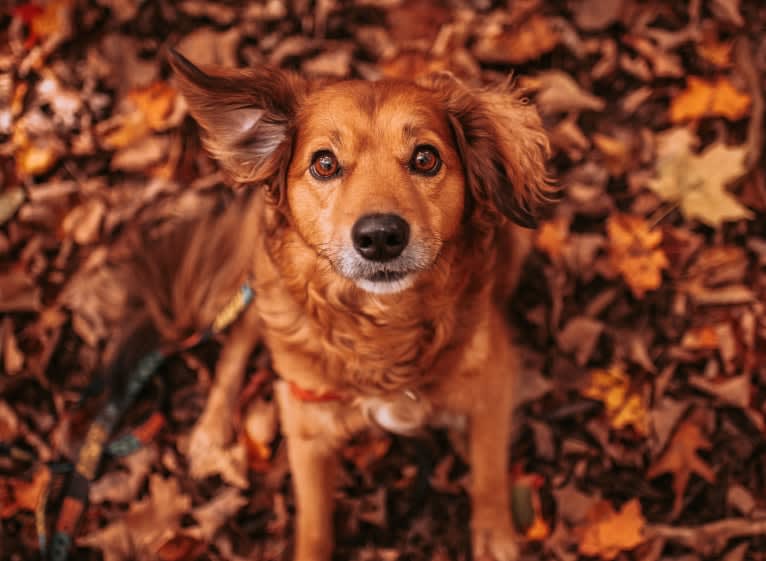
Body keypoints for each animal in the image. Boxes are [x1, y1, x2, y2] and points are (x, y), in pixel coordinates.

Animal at [120, 49, 552, 560]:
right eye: (324, 164)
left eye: (426, 158)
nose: (381, 236)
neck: (383, 331)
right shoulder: (305, 423)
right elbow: (314, 527)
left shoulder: (492, 382)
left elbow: (487, 472)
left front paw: (494, 536)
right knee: (241, 336)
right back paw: (210, 432)